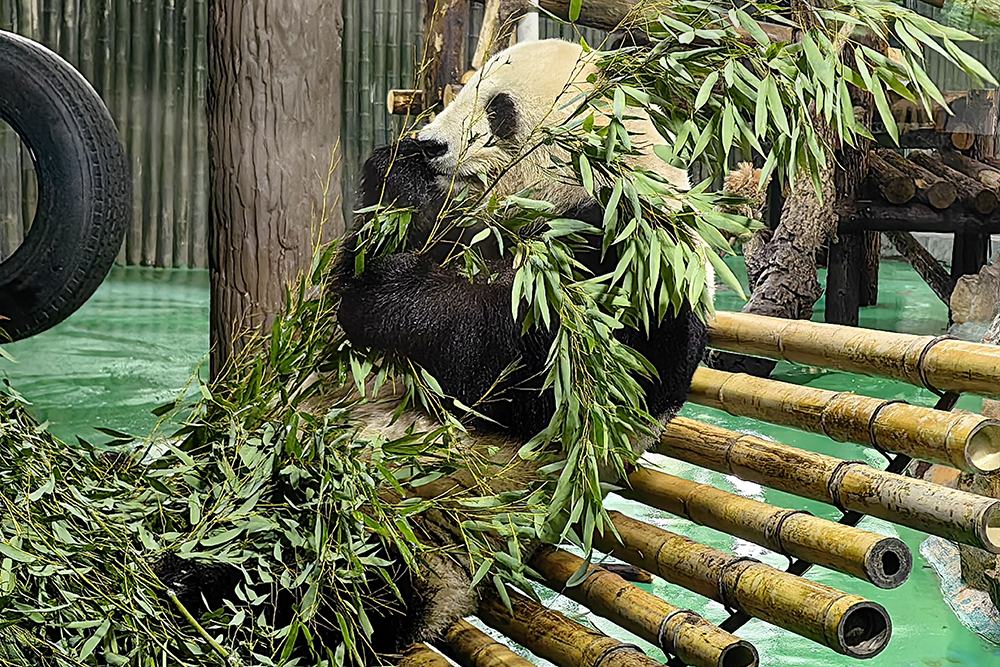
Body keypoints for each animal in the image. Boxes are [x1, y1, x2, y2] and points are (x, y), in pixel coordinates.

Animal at [334, 39, 712, 656]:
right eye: (460, 91)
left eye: (498, 109)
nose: (432, 144)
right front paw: (400, 179)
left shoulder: (634, 258)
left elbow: (545, 377)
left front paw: (388, 296)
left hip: (425, 526)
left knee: (345, 578)